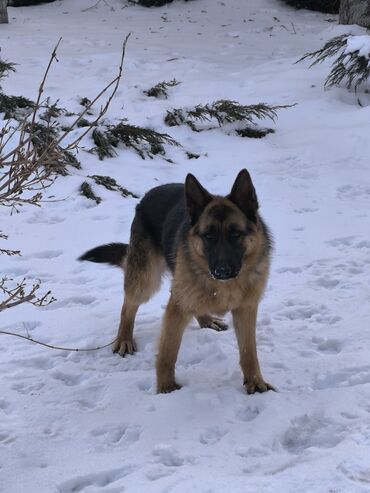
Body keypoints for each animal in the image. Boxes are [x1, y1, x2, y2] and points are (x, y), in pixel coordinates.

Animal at [79, 171, 274, 394]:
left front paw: (255, 382)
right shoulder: (176, 309)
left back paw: (206, 320)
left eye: (235, 234)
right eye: (209, 236)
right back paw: (124, 339)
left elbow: (249, 351)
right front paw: (166, 388)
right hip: (146, 281)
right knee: (128, 306)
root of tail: (147, 196)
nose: (221, 271)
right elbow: (168, 353)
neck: (224, 287)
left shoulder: (246, 310)